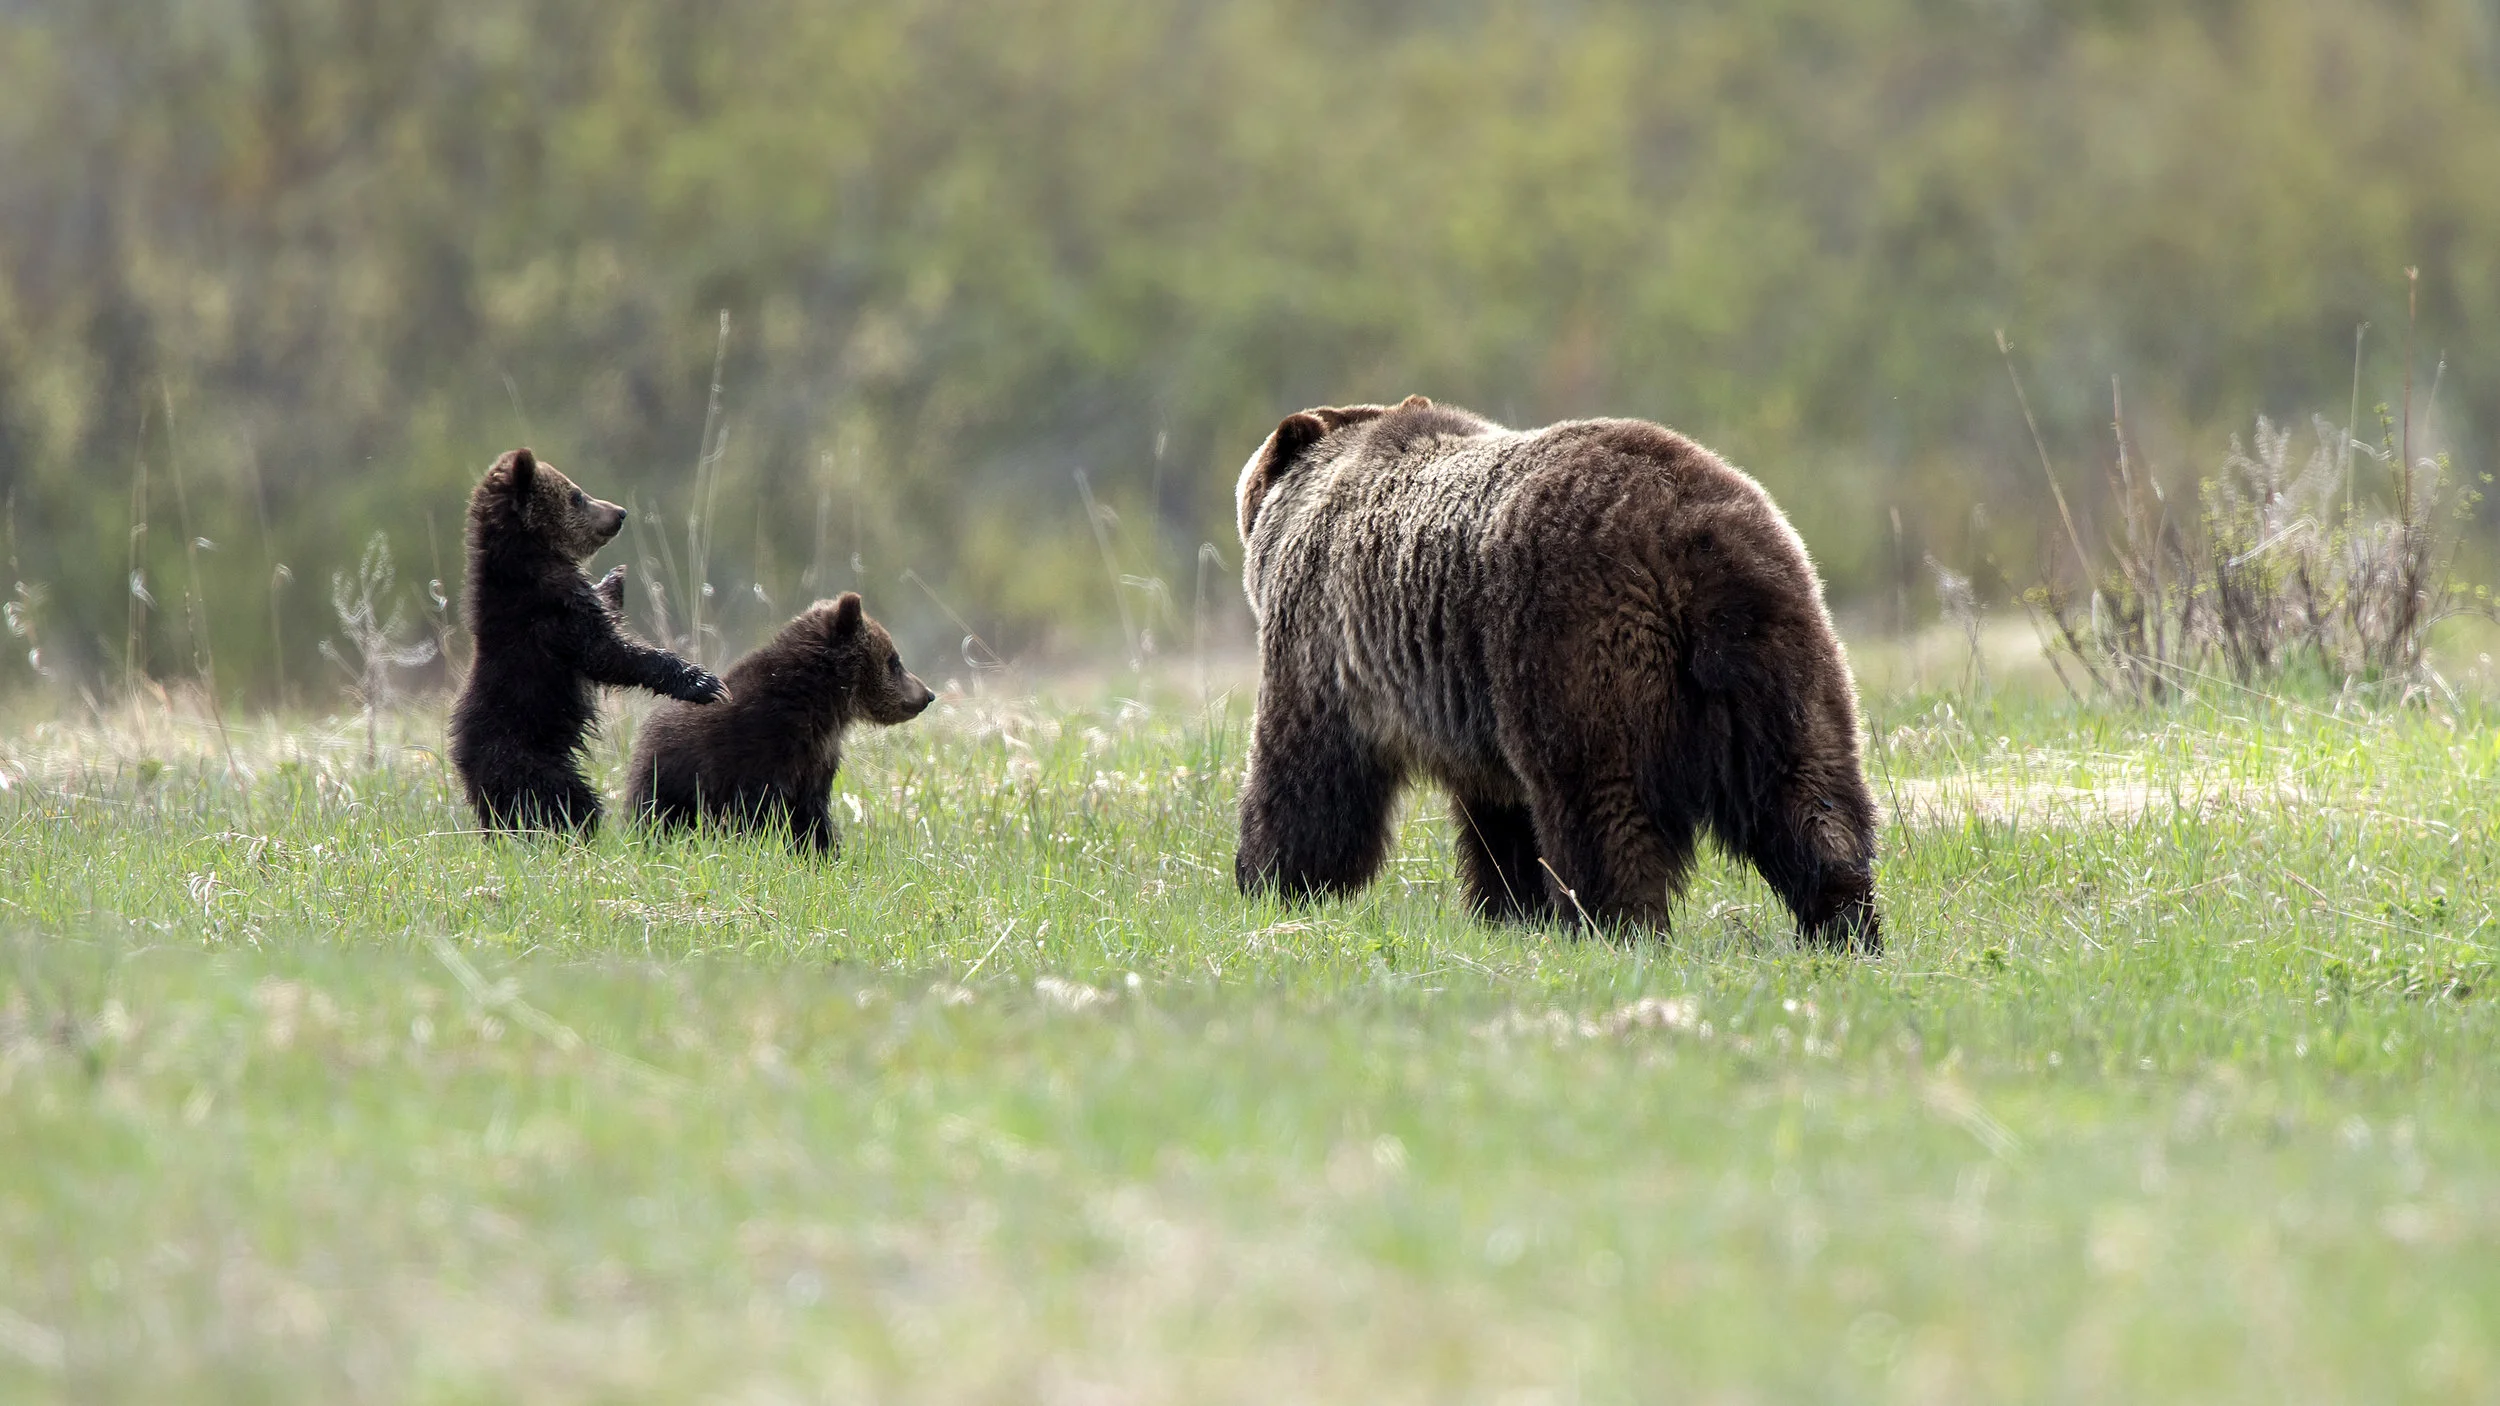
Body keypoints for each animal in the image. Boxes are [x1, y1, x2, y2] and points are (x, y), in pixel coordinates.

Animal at [447, 447, 728, 835]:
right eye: (577, 495)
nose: (620, 512)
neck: (529, 558)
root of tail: (465, 768)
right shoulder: (552, 614)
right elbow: (608, 654)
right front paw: (704, 683)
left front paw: (615, 579)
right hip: (528, 760)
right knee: (564, 803)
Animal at [625, 592, 935, 854]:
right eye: (894, 660)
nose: (927, 694)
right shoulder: (757, 750)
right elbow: (757, 812)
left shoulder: (816, 760)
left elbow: (812, 815)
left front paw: (824, 853)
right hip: (667, 782)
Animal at [1231, 396, 1881, 952]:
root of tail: (1688, 537)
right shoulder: (1473, 707)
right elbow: (1502, 820)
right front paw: (1509, 909)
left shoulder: (1324, 640)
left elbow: (1308, 771)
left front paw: (1272, 880)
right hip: (1782, 651)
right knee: (1809, 792)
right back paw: (1844, 925)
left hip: (1574, 636)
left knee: (1602, 802)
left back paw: (1613, 926)